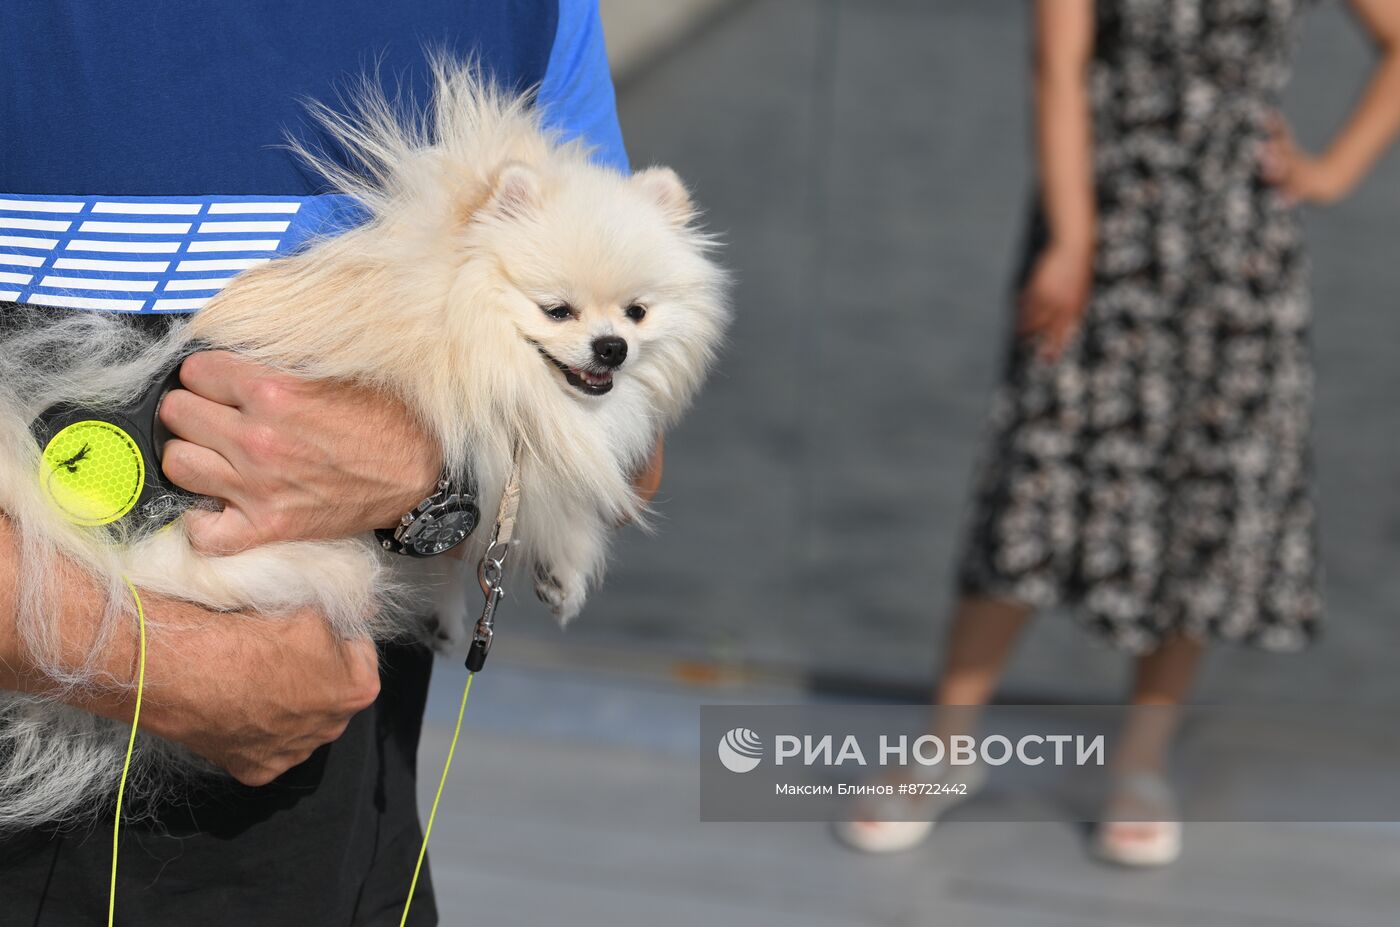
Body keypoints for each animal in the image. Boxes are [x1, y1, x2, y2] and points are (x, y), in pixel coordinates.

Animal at [2, 61, 733, 828]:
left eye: (638, 312)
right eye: (556, 310)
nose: (611, 347)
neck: (458, 300)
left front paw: (503, 591)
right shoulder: (496, 429)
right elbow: (536, 500)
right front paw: (554, 563)